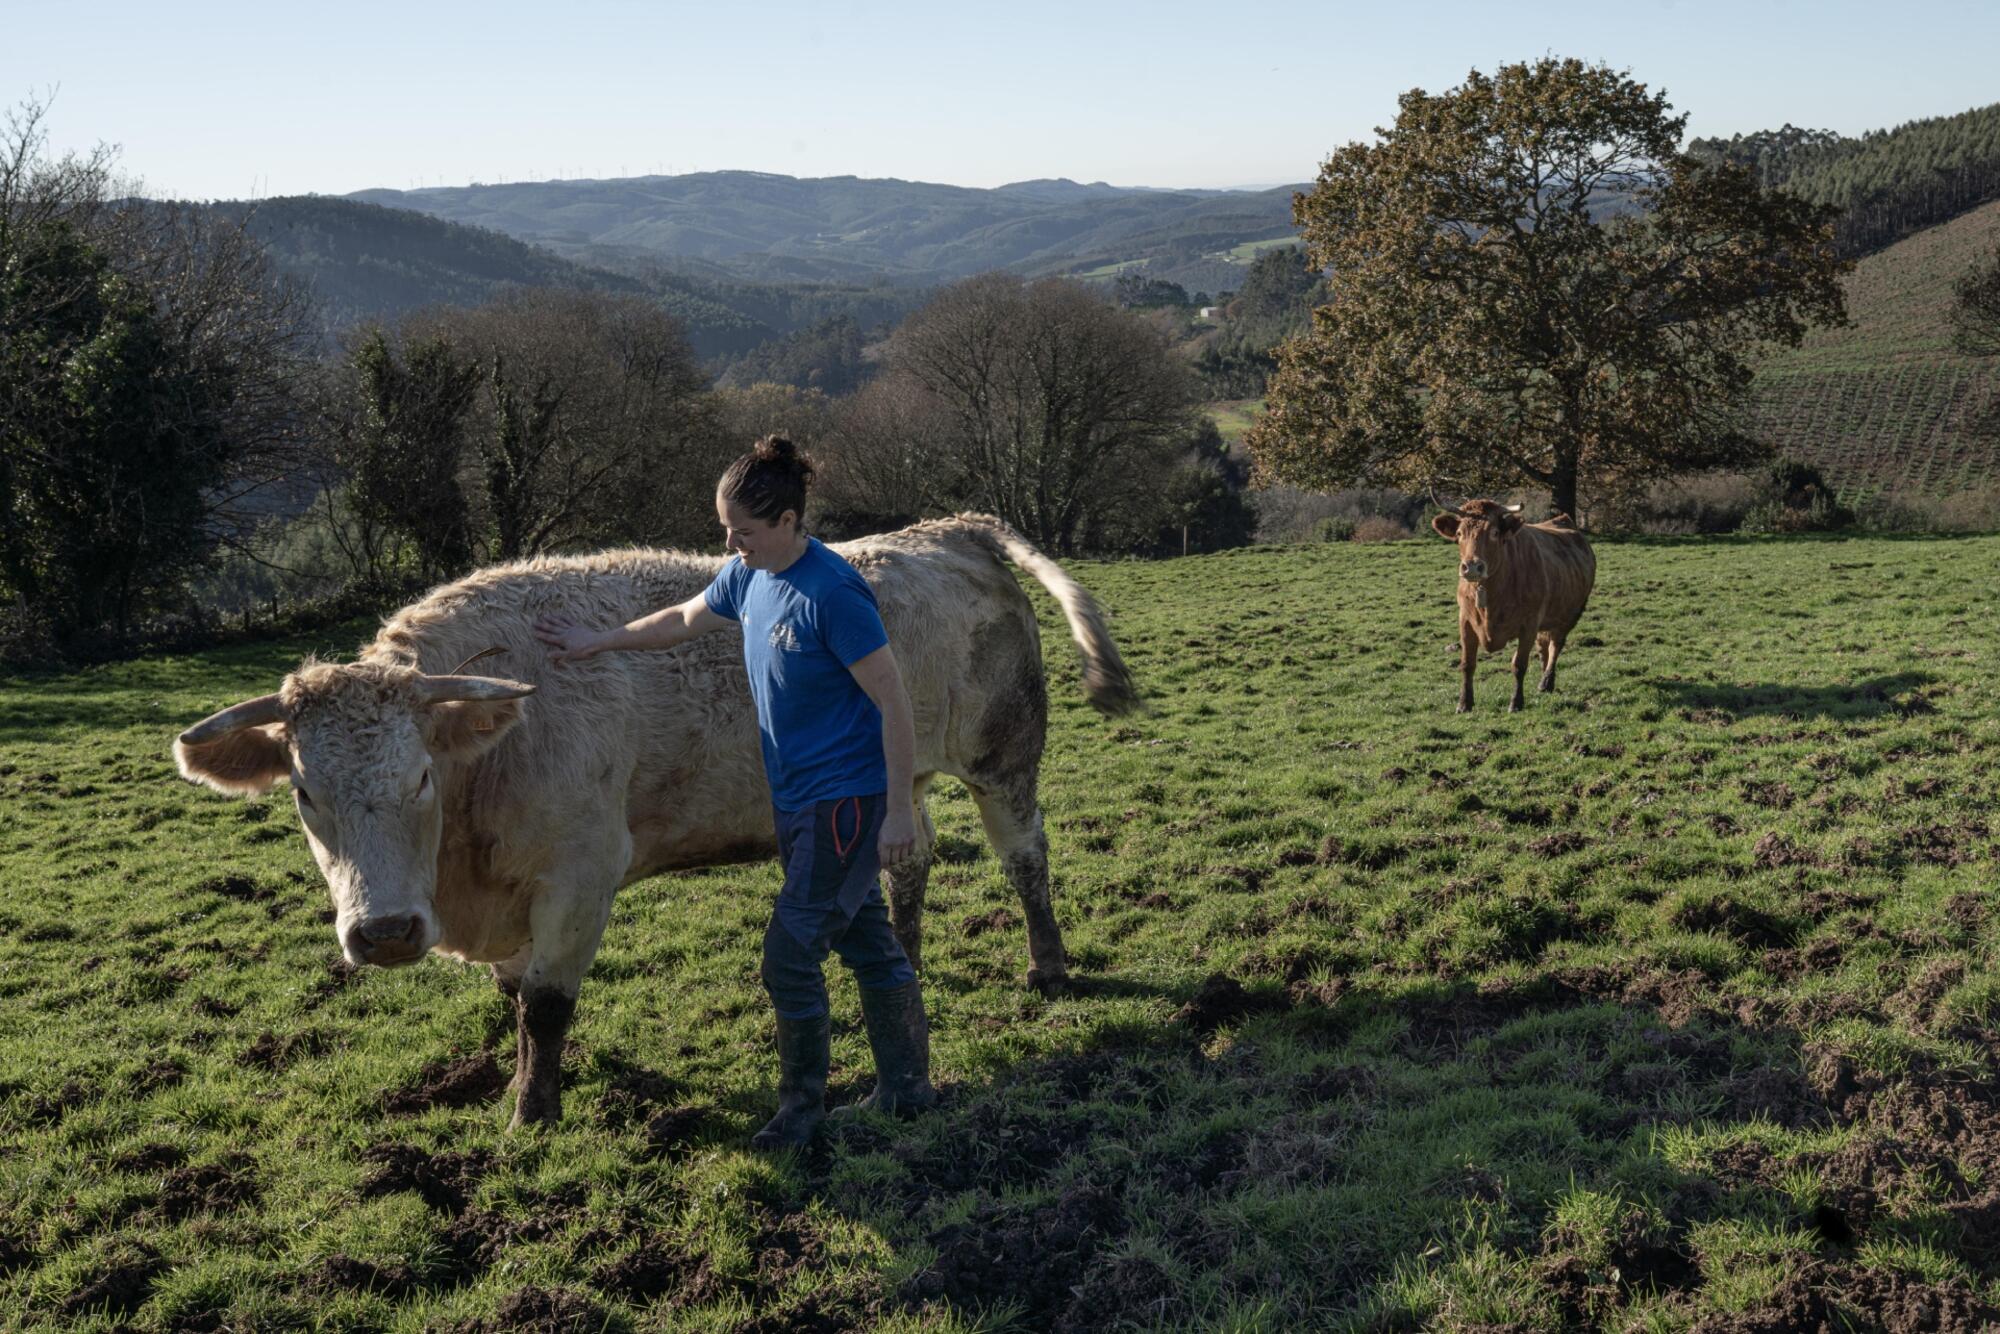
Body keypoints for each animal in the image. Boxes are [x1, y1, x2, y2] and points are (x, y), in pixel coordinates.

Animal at [178, 512, 1136, 1128]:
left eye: (420, 777)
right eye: (306, 794)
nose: (381, 933)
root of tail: (950, 527)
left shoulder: (580, 873)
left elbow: (547, 1004)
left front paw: (532, 1117)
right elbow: (516, 998)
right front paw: (525, 1086)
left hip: (1003, 758)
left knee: (1025, 856)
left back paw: (1048, 967)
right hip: (905, 781)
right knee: (909, 859)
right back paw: (910, 954)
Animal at [1432, 498, 1600, 708]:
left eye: (1495, 532)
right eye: (1459, 533)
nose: (1472, 567)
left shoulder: (1529, 624)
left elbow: (1519, 665)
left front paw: (1516, 702)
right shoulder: (1465, 621)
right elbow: (1467, 664)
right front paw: (1464, 703)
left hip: (1569, 614)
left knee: (1556, 644)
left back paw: (1547, 680)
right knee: (1543, 644)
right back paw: (1543, 681)